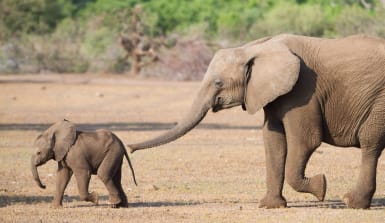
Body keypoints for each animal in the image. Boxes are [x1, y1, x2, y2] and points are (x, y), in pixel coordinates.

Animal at [129, 34, 384, 208]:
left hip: (379, 101)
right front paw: (270, 206)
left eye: (219, 83)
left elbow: (306, 141)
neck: (253, 48)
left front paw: (321, 187)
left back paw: (351, 203)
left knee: (370, 143)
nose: (130, 147)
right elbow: (273, 141)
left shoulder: (303, 89)